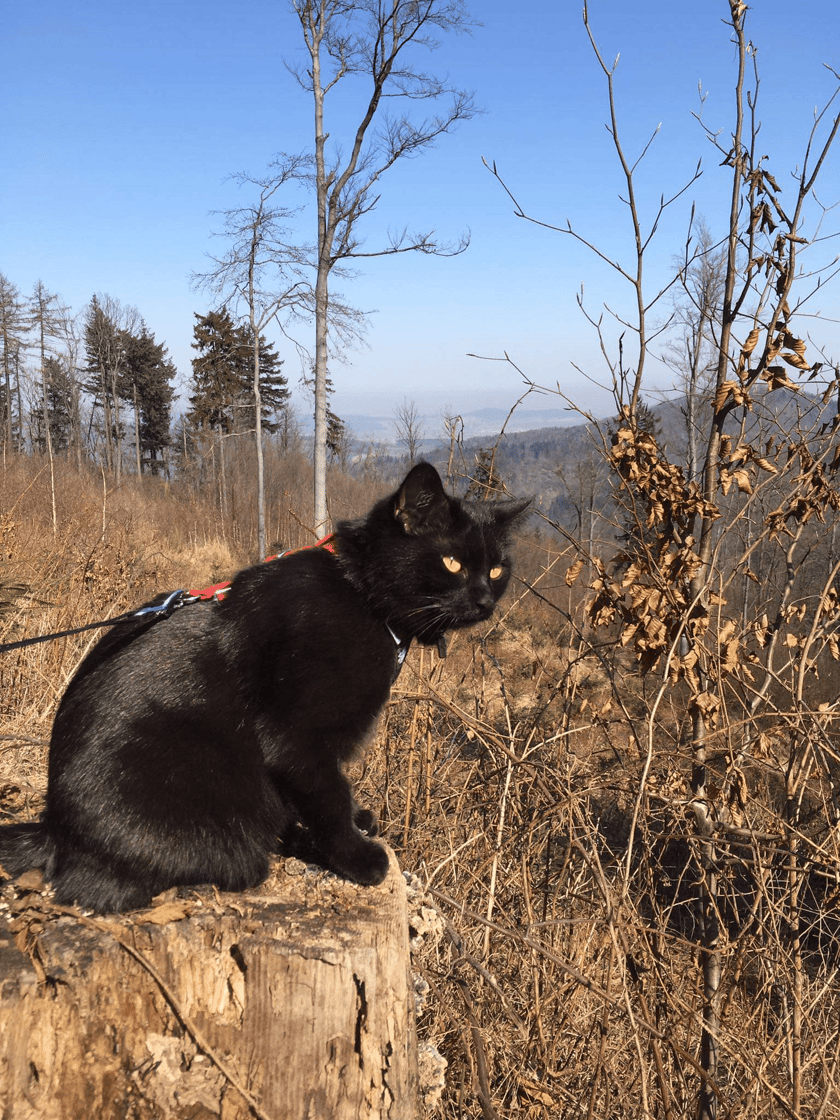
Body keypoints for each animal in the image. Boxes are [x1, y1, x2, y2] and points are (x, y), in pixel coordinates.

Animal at [0, 461, 528, 909]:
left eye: (497, 568)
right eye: (453, 563)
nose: (485, 599)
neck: (362, 596)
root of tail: (55, 831)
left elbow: (328, 791)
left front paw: (356, 822)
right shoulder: (296, 737)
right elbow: (328, 797)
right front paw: (358, 856)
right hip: (224, 824)